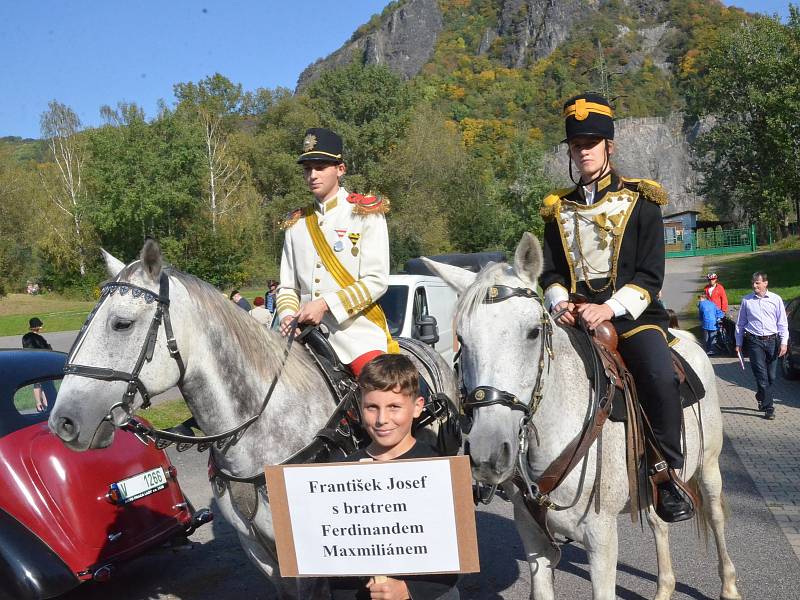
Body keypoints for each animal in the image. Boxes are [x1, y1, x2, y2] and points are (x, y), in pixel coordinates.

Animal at [422, 233, 740, 600]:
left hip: (709, 466)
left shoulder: (600, 537)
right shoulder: (533, 535)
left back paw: (729, 585)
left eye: (533, 332)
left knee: (716, 517)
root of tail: (684, 338)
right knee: (659, 522)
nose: (489, 453)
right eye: (461, 338)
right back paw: (664, 587)